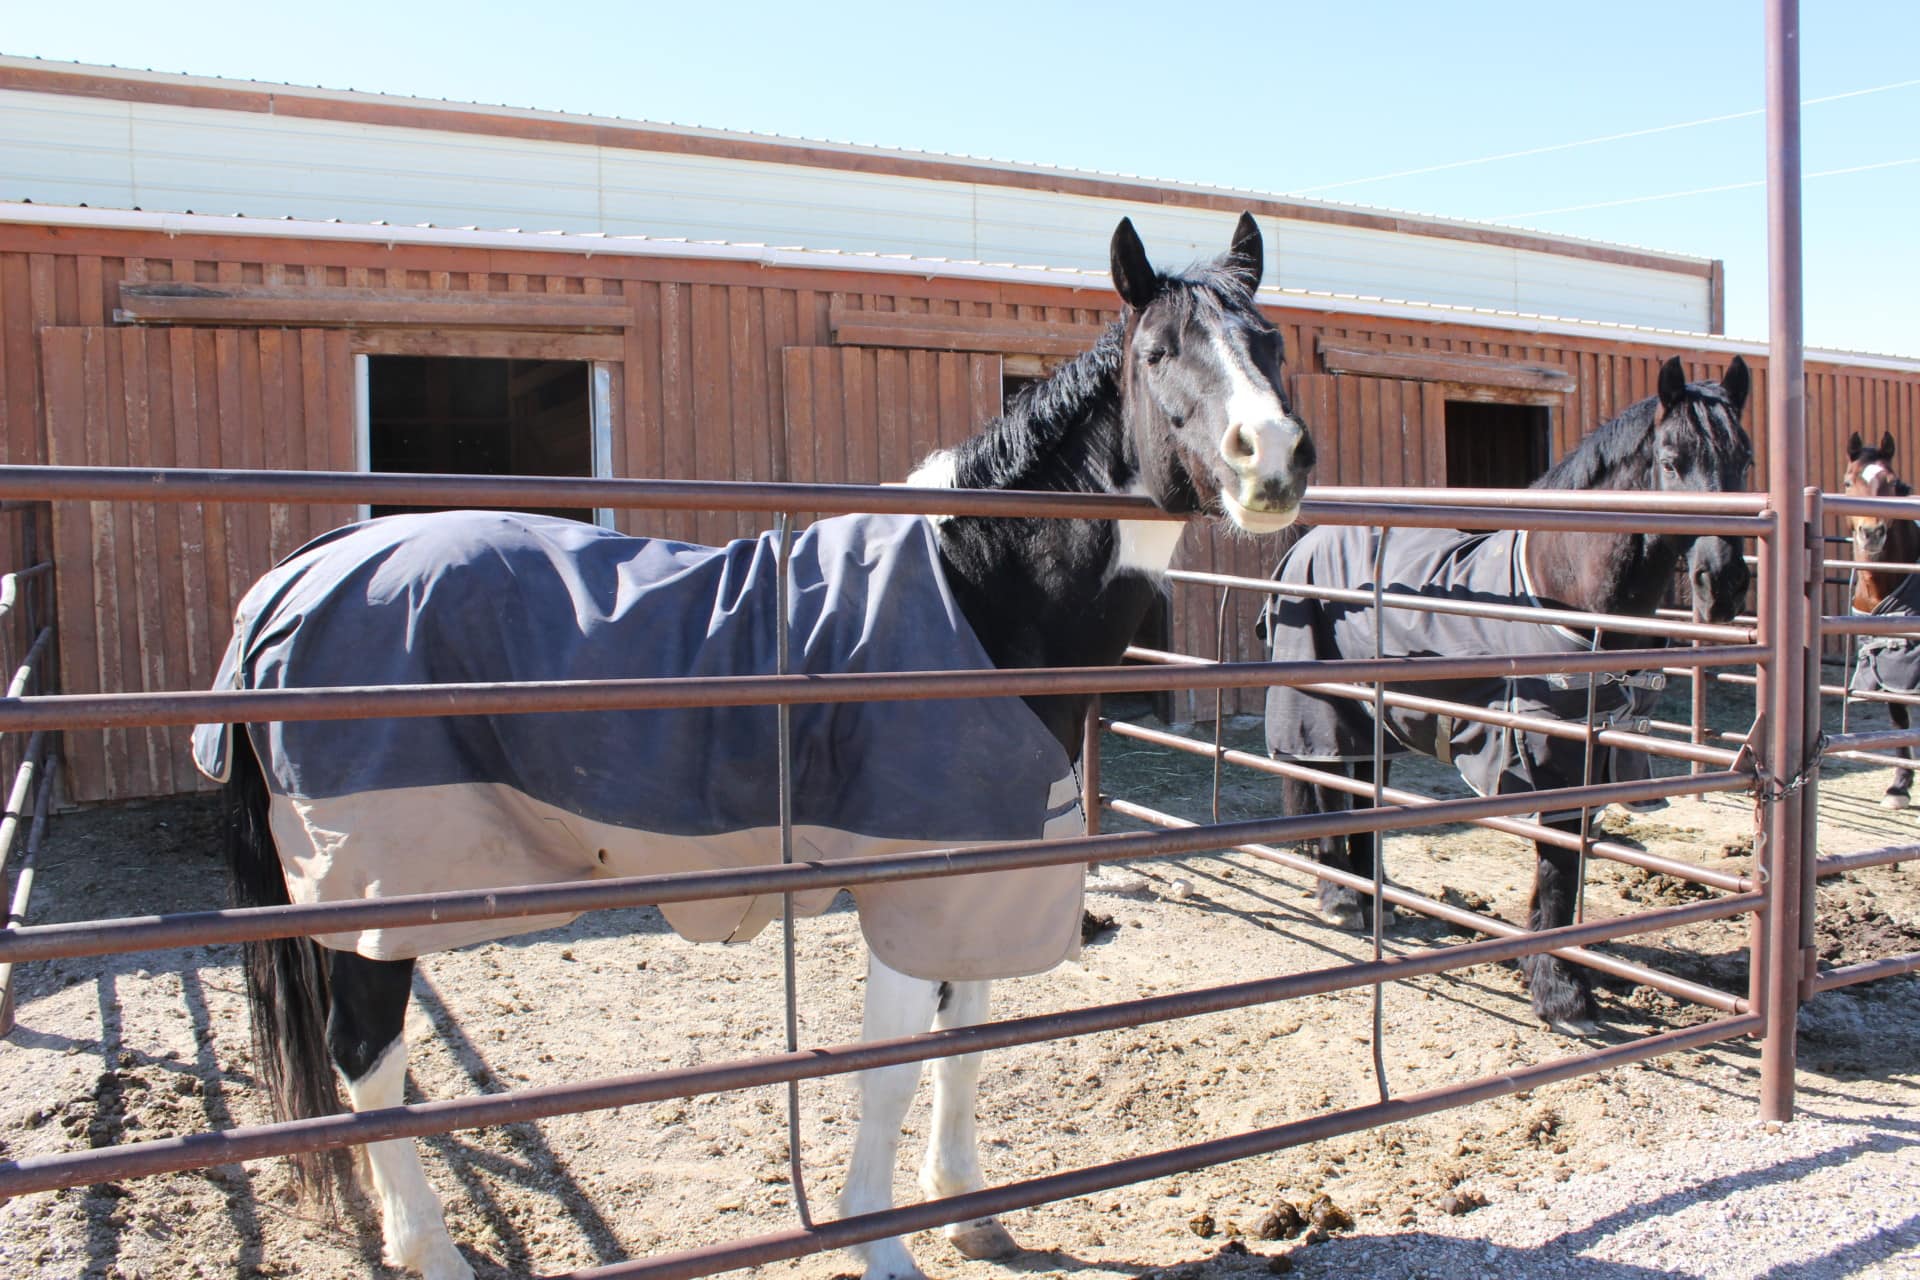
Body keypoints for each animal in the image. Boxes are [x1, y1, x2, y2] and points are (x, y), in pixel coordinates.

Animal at [214, 213, 1320, 1280]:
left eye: (1270, 343)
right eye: (1159, 350)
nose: (1269, 455)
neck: (973, 589)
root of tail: (292, 581)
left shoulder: (977, 881)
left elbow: (964, 1045)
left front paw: (968, 1213)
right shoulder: (909, 887)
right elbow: (889, 1068)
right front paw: (881, 1242)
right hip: (377, 897)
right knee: (369, 1055)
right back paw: (431, 1250)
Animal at [1267, 355, 1751, 1036]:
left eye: (1746, 460)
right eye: (1672, 461)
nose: (1724, 583)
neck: (1566, 589)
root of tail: (1308, 544)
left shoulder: (1595, 759)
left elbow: (1569, 868)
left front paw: (1560, 976)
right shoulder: (1548, 759)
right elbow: (1555, 868)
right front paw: (1561, 996)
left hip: (1374, 714)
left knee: (1363, 793)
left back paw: (1373, 899)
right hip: (1325, 707)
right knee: (1332, 789)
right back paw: (1341, 900)